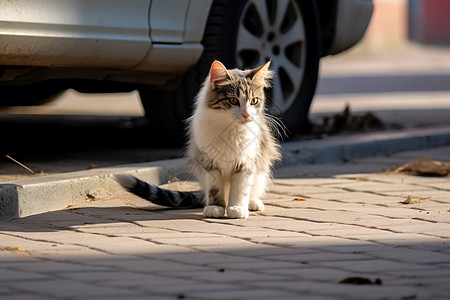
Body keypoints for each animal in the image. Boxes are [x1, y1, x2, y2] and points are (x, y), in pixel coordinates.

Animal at [118, 59, 284, 219]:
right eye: (233, 100)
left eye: (254, 101)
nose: (247, 115)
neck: (230, 129)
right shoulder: (210, 163)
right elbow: (215, 189)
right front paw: (216, 208)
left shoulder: (246, 162)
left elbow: (240, 189)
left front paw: (237, 208)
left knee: (252, 190)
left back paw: (253, 203)